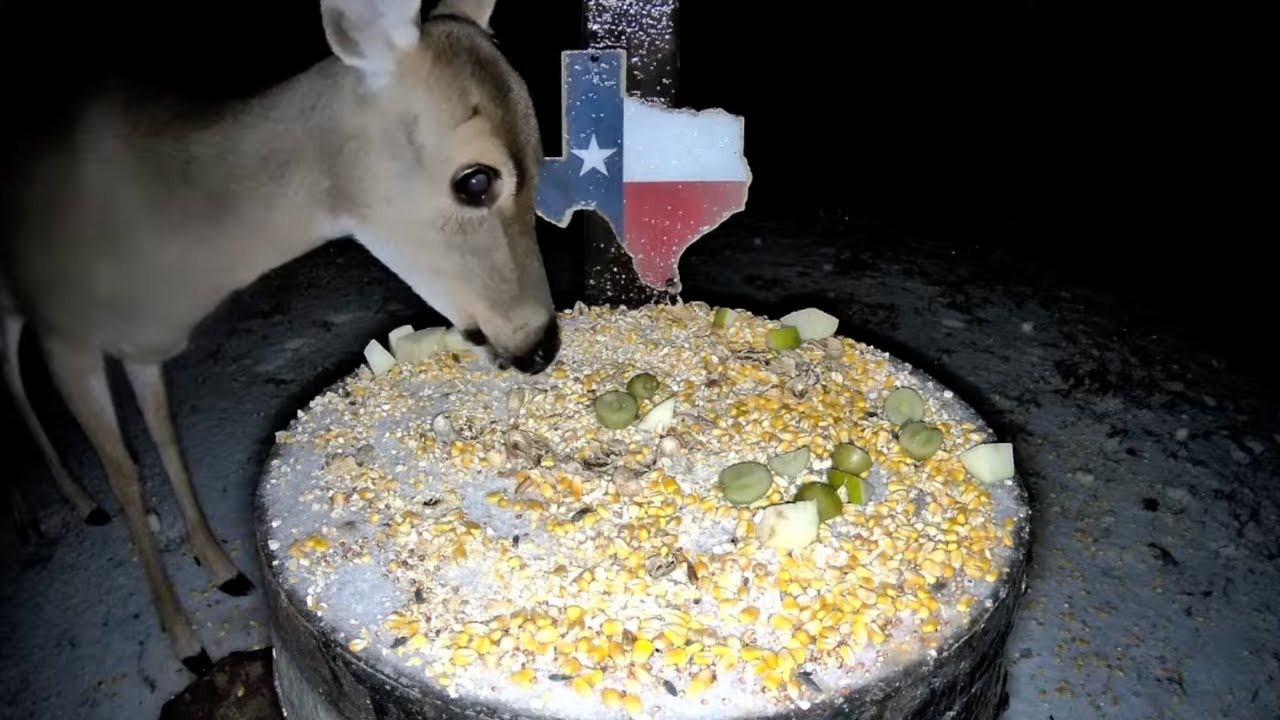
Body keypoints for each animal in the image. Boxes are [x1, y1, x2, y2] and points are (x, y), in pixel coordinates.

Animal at [0, 0, 561, 676]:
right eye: (476, 180)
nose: (541, 343)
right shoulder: (68, 336)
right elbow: (126, 474)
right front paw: (185, 641)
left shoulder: (145, 349)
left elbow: (166, 440)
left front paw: (222, 566)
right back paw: (62, 506)